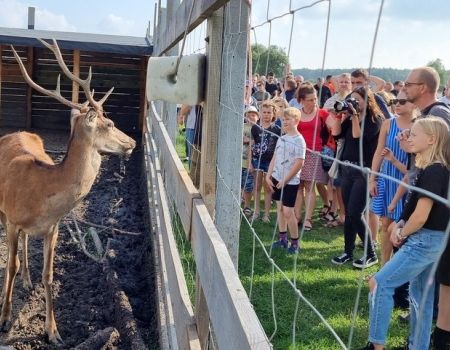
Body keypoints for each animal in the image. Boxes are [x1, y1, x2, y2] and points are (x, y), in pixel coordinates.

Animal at [0, 40, 137, 344]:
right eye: (109, 123)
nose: (133, 141)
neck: (42, 196)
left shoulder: (54, 227)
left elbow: (49, 275)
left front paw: (53, 331)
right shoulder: (12, 219)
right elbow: (10, 264)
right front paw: (4, 319)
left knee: (26, 243)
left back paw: (27, 279)